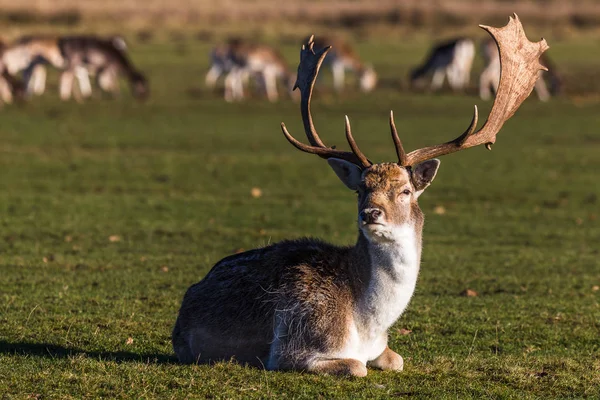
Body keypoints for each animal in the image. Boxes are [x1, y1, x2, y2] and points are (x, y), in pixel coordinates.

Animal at [171, 16, 548, 378]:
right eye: (360, 189)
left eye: (405, 190)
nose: (370, 213)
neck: (367, 324)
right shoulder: (291, 348)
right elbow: (357, 366)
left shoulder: (383, 347)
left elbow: (396, 360)